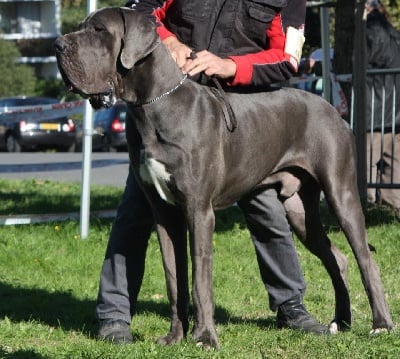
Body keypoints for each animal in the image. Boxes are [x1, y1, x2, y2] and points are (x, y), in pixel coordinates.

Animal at [54, 7, 394, 350]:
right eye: (83, 27)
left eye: (98, 30)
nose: (58, 44)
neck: (155, 106)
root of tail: (332, 108)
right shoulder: (164, 213)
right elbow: (174, 278)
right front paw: (175, 336)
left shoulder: (199, 211)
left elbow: (199, 281)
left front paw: (205, 337)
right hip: (300, 211)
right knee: (337, 259)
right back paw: (341, 321)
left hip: (341, 193)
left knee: (366, 260)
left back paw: (381, 324)